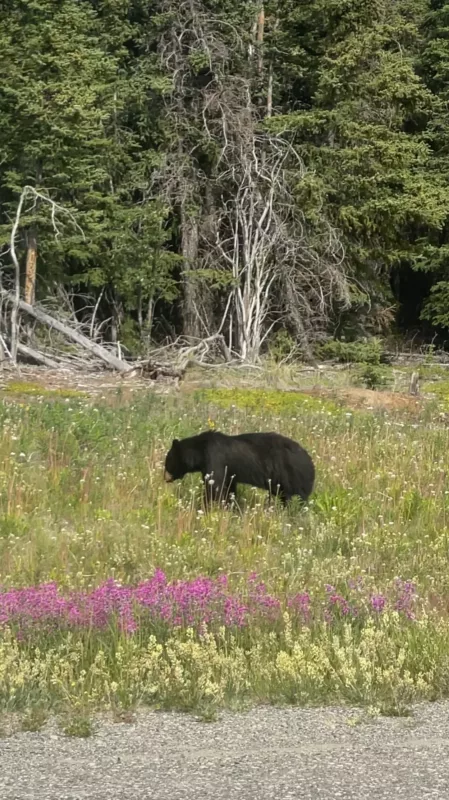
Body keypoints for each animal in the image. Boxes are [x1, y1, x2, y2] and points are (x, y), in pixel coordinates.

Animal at [163, 432, 314, 506]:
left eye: (167, 462)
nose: (165, 478)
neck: (200, 450)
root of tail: (310, 461)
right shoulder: (229, 472)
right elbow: (229, 488)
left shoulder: (214, 458)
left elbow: (215, 487)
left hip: (291, 476)